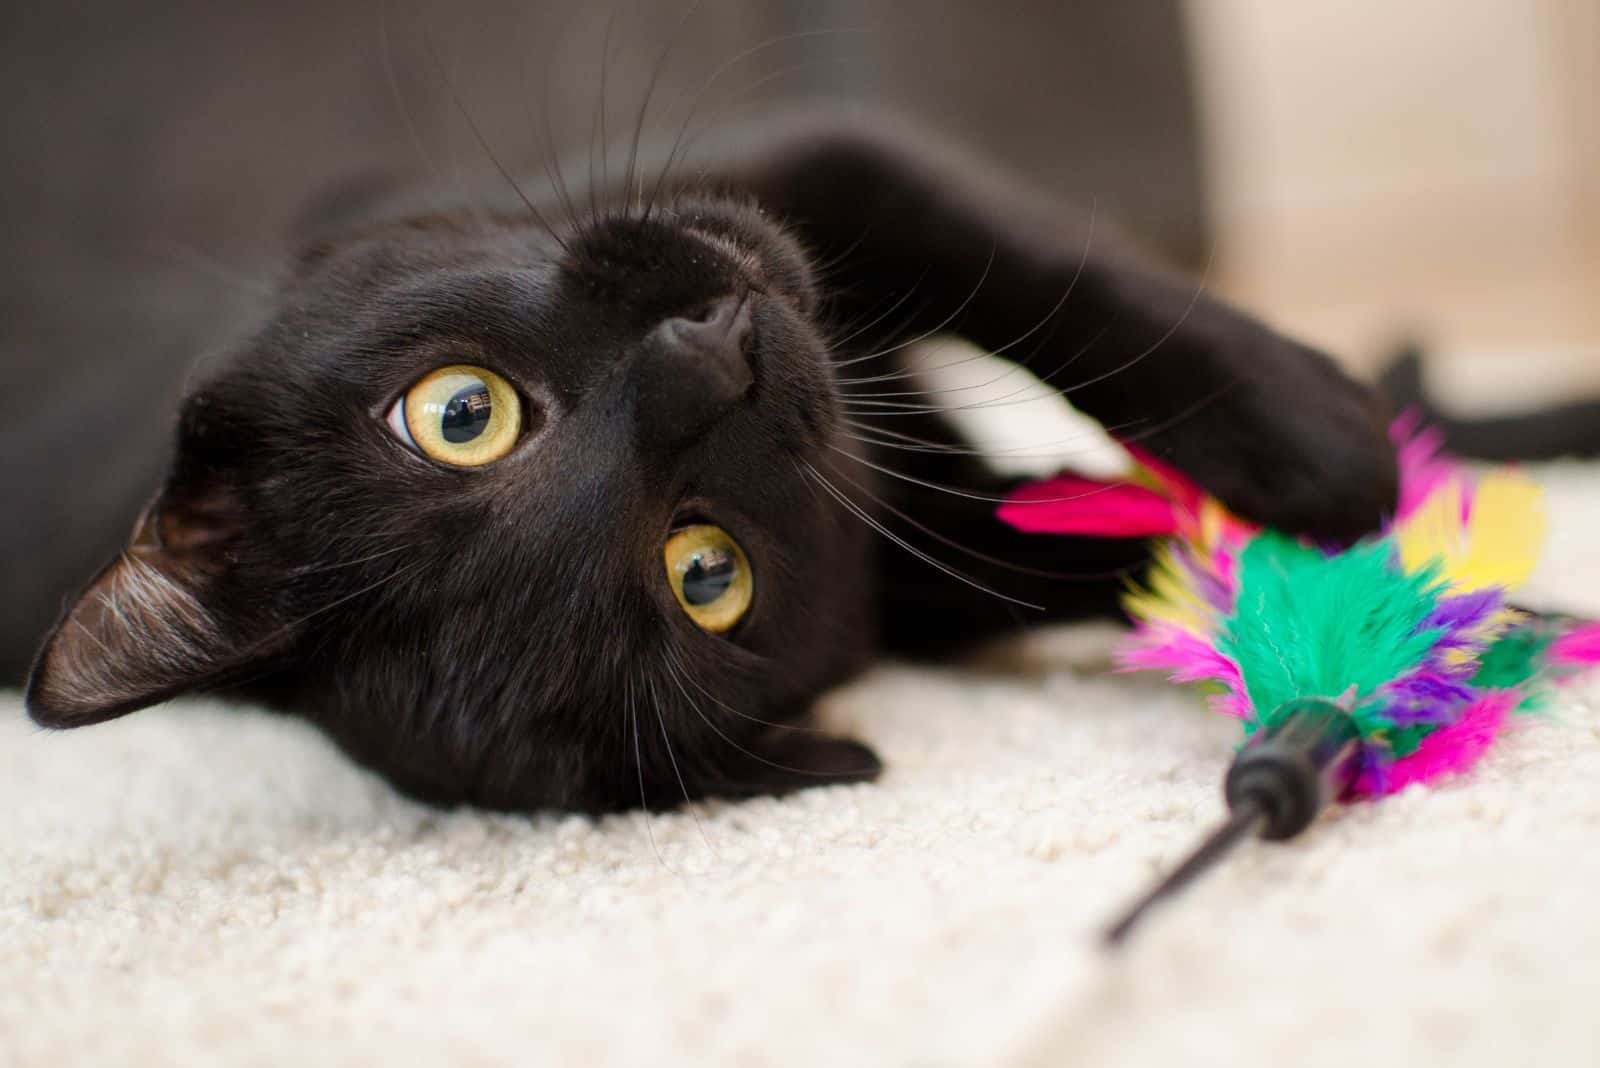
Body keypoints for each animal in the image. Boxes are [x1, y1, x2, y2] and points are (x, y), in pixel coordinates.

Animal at [21, 115, 1388, 808]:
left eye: (460, 414)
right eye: (704, 574)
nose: (714, 360)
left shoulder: (823, 158)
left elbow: (1047, 272)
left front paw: (1326, 445)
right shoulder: (927, 576)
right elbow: (1084, 543)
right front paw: (1349, 572)